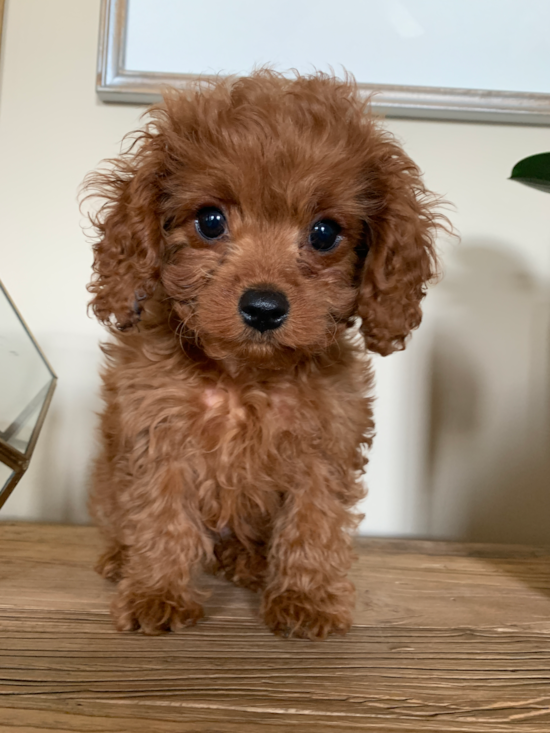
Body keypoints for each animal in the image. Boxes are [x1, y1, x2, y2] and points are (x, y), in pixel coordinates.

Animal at [87, 71, 448, 636]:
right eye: (210, 221)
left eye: (324, 233)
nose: (263, 307)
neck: (246, 378)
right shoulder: (158, 434)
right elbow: (161, 519)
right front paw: (155, 593)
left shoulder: (324, 446)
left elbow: (313, 521)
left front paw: (306, 597)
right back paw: (122, 558)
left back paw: (250, 563)